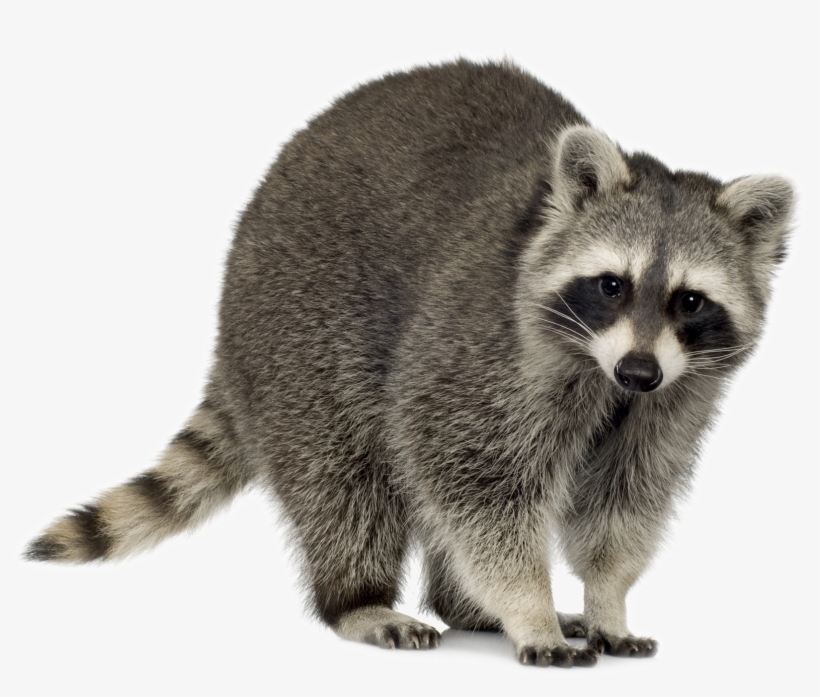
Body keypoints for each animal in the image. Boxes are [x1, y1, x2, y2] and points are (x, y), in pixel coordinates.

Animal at [25, 60, 794, 668]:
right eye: (611, 285)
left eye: (689, 300)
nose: (637, 372)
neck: (600, 366)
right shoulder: (481, 347)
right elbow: (475, 480)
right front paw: (529, 606)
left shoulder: (677, 395)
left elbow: (625, 497)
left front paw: (607, 599)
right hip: (296, 329)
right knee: (345, 476)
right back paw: (359, 598)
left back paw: (464, 605)